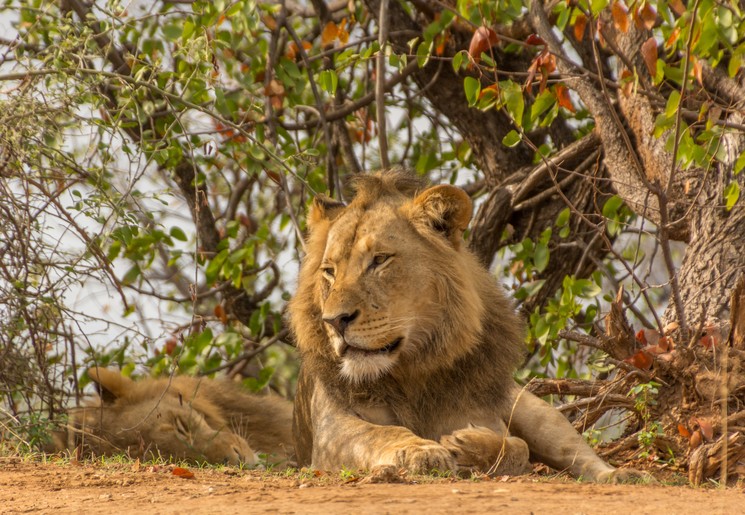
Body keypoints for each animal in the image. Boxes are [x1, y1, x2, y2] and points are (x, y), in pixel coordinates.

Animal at [290, 170, 640, 484]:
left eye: (380, 260)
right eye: (329, 271)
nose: (334, 321)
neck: (410, 371)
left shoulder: (481, 415)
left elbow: (519, 447)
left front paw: (466, 448)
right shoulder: (331, 431)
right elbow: (381, 433)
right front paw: (421, 451)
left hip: (534, 410)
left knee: (575, 450)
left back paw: (620, 474)